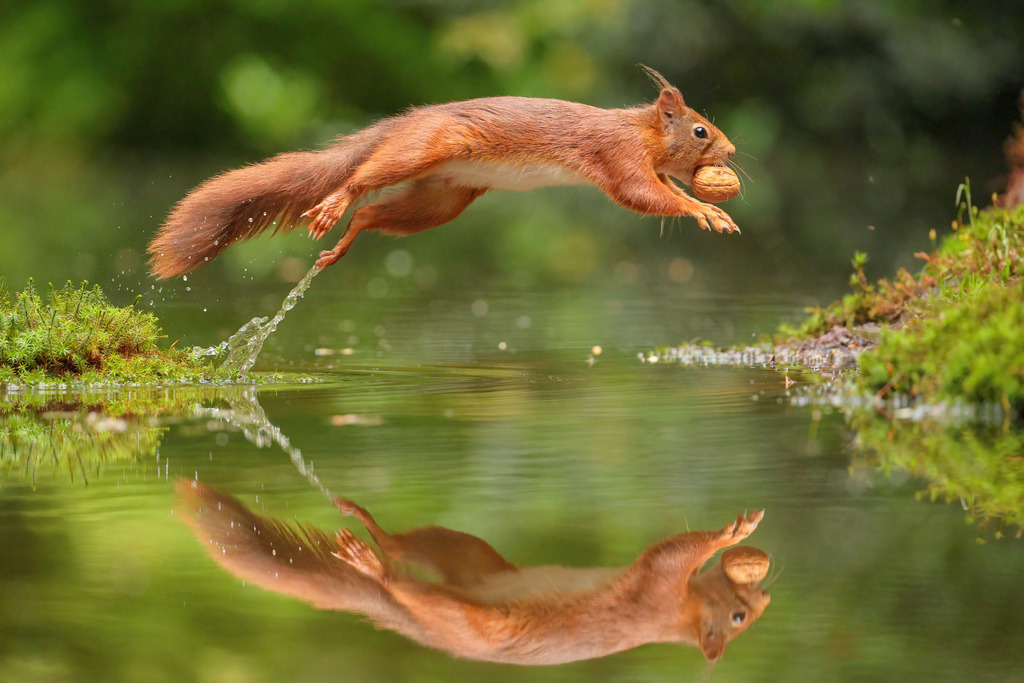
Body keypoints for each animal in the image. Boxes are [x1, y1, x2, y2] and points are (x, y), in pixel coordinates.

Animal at [149, 68, 739, 278]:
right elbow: (642, 194)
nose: (733, 151)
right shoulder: (618, 158)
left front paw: (708, 206)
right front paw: (705, 210)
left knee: (373, 215)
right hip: (422, 151)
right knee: (361, 180)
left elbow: (657, 190)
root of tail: (403, 123)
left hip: (440, 200)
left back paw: (339, 246)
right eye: (701, 131)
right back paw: (333, 205)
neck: (641, 131)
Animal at [177, 479, 770, 665]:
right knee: (403, 577)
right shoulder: (657, 585)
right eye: (740, 618)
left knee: (409, 546)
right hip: (468, 611)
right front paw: (734, 533)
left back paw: (366, 534)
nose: (766, 599)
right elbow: (678, 549)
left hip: (466, 558)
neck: (677, 614)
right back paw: (372, 562)